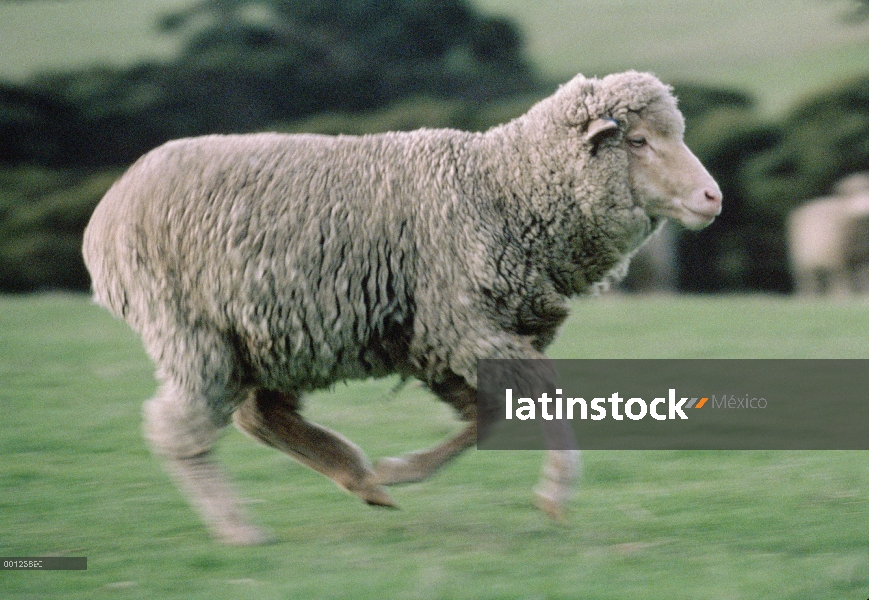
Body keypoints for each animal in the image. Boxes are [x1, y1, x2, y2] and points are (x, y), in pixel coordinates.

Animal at [81, 70, 724, 544]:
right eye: (637, 141)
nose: (712, 197)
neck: (504, 189)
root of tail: (108, 210)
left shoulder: (451, 339)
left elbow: (492, 415)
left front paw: (402, 470)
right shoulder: (464, 325)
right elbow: (538, 394)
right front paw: (556, 493)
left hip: (266, 337)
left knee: (259, 416)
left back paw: (359, 477)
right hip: (192, 330)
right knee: (180, 429)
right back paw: (240, 529)